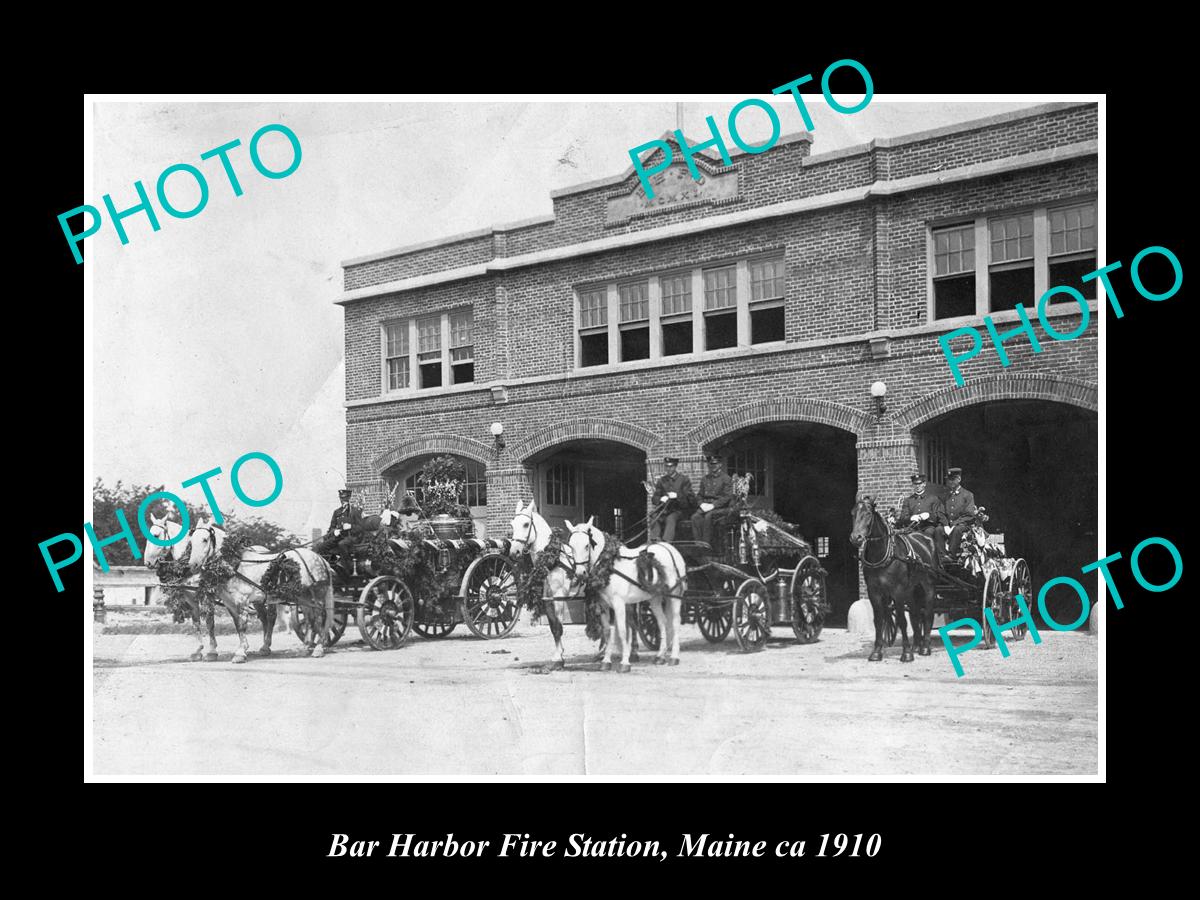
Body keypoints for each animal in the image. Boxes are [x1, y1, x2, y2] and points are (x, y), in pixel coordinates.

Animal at [187, 520, 338, 662]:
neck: (234, 564)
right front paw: (241, 649)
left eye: (205, 539)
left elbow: (241, 625)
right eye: (191, 540)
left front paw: (240, 653)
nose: (193, 566)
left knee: (319, 617)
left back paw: (318, 648)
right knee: (309, 618)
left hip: (318, 592)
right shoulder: (229, 603)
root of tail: (321, 559)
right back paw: (306, 647)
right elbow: (237, 625)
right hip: (303, 595)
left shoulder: (242, 600)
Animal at [561, 518, 686, 672]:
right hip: (655, 598)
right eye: (571, 546)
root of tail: (669, 548)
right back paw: (660, 656)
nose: (580, 573)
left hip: (674, 595)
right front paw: (606, 661)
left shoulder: (619, 603)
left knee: (675, 622)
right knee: (662, 622)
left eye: (586, 546)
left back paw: (674, 657)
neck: (609, 565)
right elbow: (607, 631)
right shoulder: (603, 605)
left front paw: (625, 662)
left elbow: (622, 631)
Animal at [844, 501, 936, 662]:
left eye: (868, 514)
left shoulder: (898, 591)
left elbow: (902, 620)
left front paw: (906, 653)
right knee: (915, 614)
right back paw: (917, 645)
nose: (856, 538)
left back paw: (925, 647)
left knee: (927, 614)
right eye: (853, 513)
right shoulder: (874, 591)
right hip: (912, 589)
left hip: (927, 585)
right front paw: (876, 652)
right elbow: (879, 620)